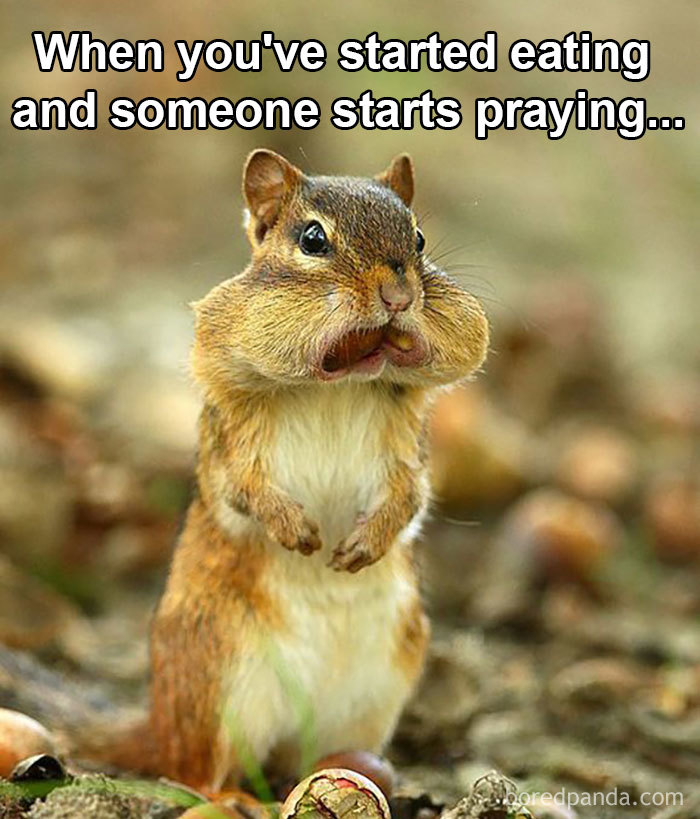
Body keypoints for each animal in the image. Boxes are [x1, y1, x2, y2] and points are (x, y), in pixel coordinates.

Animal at [0, 150, 489, 794]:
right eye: (313, 240)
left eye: (419, 237)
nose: (399, 295)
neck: (335, 389)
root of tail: (158, 724)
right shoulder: (232, 441)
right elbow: (244, 489)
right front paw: (293, 528)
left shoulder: (407, 447)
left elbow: (412, 496)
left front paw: (367, 542)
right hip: (221, 688)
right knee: (198, 774)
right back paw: (234, 798)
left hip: (372, 696)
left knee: (300, 764)